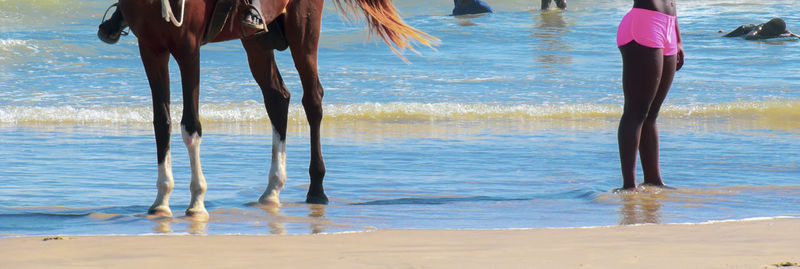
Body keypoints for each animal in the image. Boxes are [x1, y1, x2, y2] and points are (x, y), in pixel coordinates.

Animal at [115, 0, 434, 219]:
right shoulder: (151, 48)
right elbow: (162, 123)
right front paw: (161, 200)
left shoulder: (188, 47)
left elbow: (191, 125)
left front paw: (196, 202)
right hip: (256, 39)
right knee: (277, 98)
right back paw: (272, 189)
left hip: (304, 29)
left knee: (312, 101)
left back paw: (316, 189)